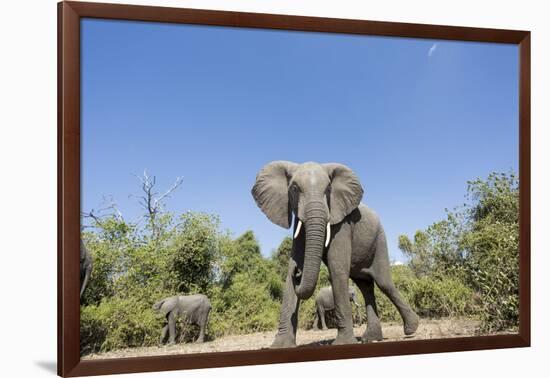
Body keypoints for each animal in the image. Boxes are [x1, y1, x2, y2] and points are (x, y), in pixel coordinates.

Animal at [252, 161, 420, 346]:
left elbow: (336, 268)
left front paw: (344, 343)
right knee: (366, 286)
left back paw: (411, 330)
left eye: (328, 189)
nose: (299, 272)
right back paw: (371, 338)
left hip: (379, 239)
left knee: (384, 283)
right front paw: (280, 346)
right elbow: (290, 270)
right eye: (294, 188)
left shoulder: (342, 224)